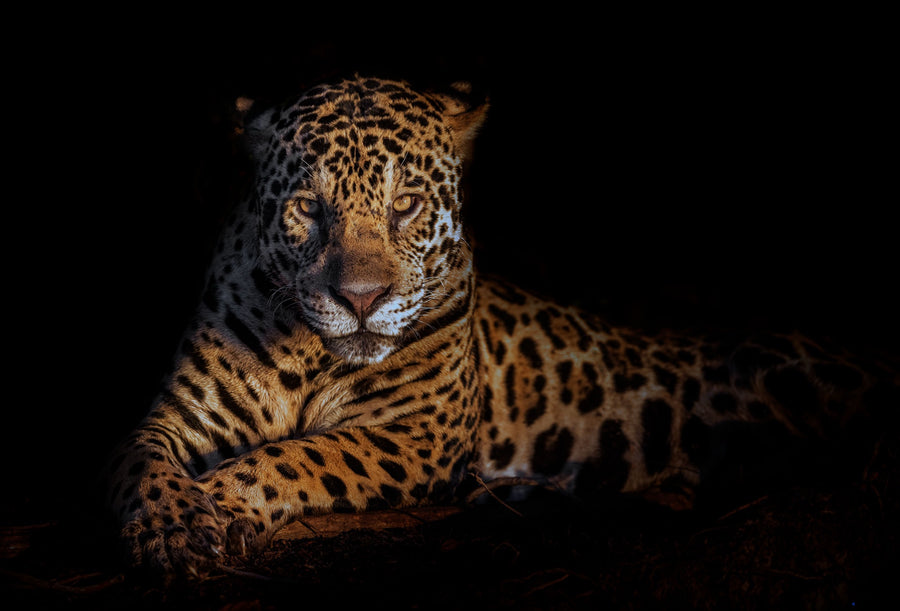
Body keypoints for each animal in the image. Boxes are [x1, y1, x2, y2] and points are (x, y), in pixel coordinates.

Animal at [105, 75, 898, 576]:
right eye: (308, 207)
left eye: (405, 204)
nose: (360, 298)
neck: (307, 351)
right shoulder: (178, 415)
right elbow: (137, 459)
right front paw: (176, 524)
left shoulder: (414, 435)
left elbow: (301, 455)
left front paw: (222, 499)